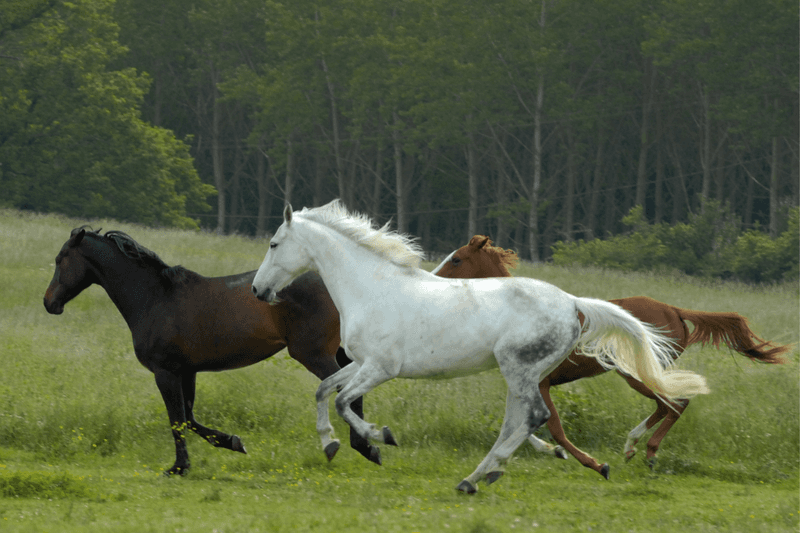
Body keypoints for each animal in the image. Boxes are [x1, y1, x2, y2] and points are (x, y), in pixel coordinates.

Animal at [42, 224, 382, 474]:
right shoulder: (187, 371)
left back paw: (365, 447)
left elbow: (177, 420)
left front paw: (179, 467)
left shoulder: (165, 372)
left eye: (60, 259)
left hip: (314, 354)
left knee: (345, 391)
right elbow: (189, 418)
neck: (155, 299)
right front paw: (233, 442)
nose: (49, 303)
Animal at [250, 201, 708, 494]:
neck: (372, 289)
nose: (257, 291)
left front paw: (382, 437)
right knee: (519, 422)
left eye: (274, 244)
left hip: (518, 370)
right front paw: (329, 443)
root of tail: (573, 303)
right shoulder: (360, 363)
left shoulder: (380, 368)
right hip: (523, 375)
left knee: (534, 418)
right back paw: (482, 476)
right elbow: (323, 390)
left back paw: (479, 477)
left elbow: (344, 401)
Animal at [432, 235, 788, 476]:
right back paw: (632, 447)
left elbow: (552, 425)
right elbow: (529, 426)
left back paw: (646, 451)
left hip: (635, 373)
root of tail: (674, 309)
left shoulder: (541, 383)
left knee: (675, 403)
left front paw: (593, 463)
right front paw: (551, 452)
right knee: (667, 404)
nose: (432, 279)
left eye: (457, 259)